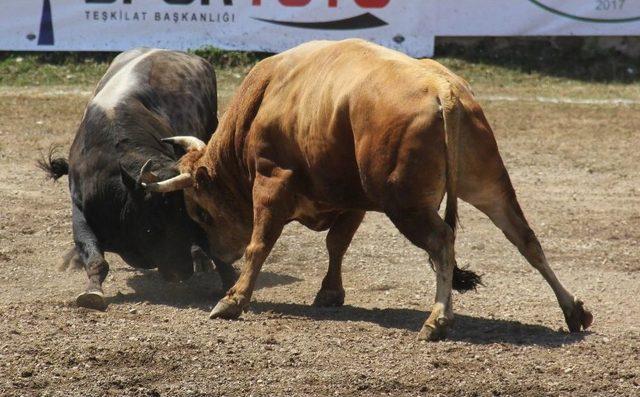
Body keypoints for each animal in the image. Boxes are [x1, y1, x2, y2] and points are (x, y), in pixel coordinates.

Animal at [148, 38, 592, 338]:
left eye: (199, 210)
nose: (219, 254)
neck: (264, 100)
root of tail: (443, 89)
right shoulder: (351, 198)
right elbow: (337, 244)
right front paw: (330, 292)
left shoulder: (272, 183)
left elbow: (261, 244)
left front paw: (234, 298)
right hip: (487, 184)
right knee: (525, 238)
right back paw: (573, 310)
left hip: (406, 204)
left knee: (442, 242)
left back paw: (438, 319)